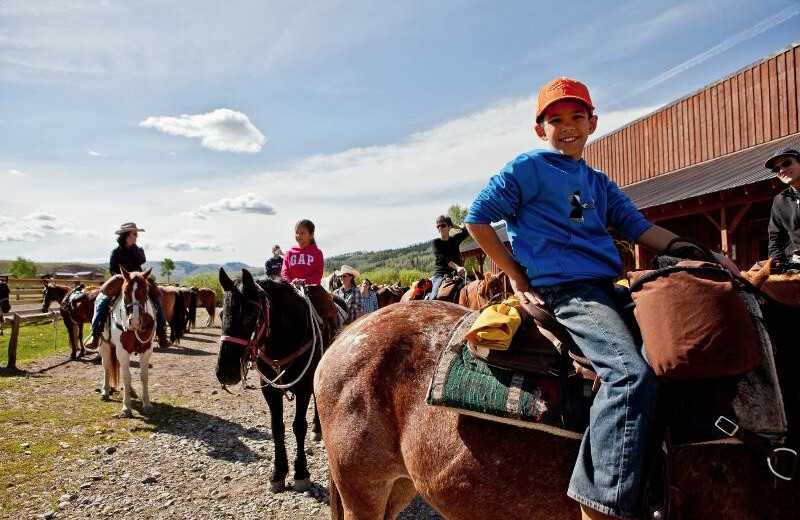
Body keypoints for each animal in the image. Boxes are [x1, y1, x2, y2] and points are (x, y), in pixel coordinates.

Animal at [99, 268, 157, 418]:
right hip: (104, 346)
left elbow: (144, 376)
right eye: (125, 291)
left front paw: (147, 404)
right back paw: (105, 391)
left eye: (146, 291)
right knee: (106, 366)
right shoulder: (122, 350)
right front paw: (126, 408)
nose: (135, 321)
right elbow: (126, 377)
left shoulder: (146, 349)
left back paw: (130, 391)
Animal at [216, 270, 328, 494]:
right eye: (222, 315)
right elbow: (277, 427)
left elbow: (298, 426)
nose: (224, 372)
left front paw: (301, 472)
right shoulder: (270, 390)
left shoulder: (303, 386)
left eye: (250, 314)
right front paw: (278, 473)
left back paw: (317, 428)